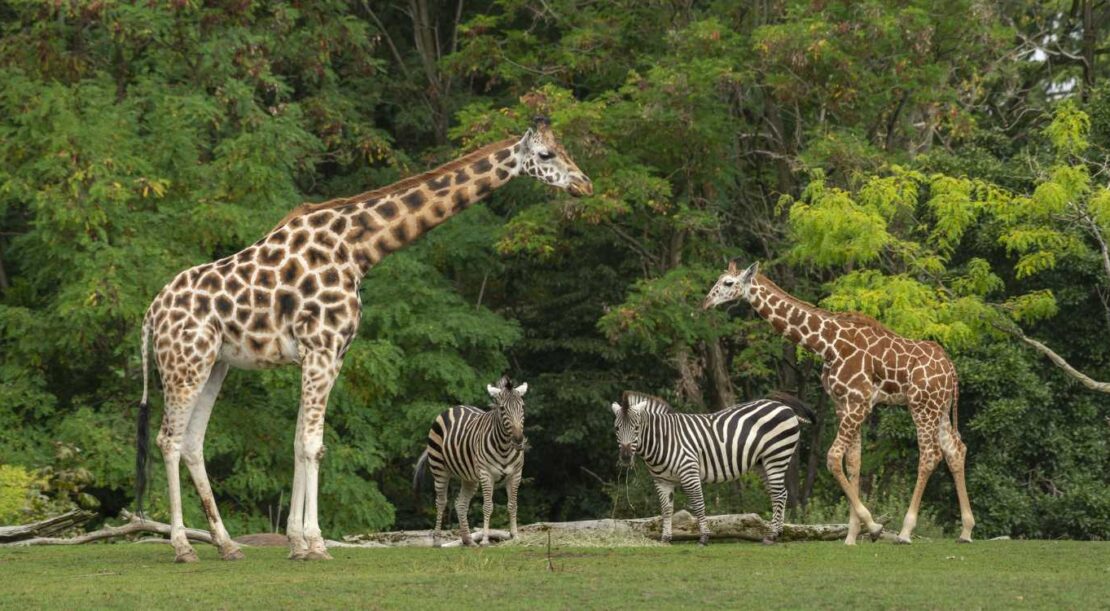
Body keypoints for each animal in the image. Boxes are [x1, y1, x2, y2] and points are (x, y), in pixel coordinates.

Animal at [417, 375, 528, 548]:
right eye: (502, 409)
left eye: (522, 407)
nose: (518, 441)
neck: (504, 447)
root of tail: (455, 407)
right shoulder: (486, 474)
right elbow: (488, 506)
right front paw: (485, 540)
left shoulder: (516, 474)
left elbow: (513, 505)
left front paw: (515, 537)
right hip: (439, 469)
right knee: (441, 502)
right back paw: (437, 540)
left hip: (469, 477)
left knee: (460, 504)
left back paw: (468, 540)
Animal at [612, 393, 812, 546]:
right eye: (616, 428)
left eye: (636, 428)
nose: (625, 457)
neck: (664, 440)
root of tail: (783, 406)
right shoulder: (662, 481)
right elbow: (666, 509)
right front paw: (666, 538)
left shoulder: (689, 472)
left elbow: (699, 504)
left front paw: (704, 537)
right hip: (762, 463)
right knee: (780, 494)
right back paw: (777, 533)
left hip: (776, 457)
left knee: (778, 494)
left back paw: (772, 535)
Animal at [705, 261, 976, 548]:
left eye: (728, 283)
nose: (707, 301)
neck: (827, 344)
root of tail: (951, 370)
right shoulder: (844, 403)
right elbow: (854, 462)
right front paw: (852, 535)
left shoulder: (859, 402)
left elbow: (834, 457)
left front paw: (873, 526)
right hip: (940, 407)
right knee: (955, 449)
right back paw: (966, 531)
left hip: (922, 406)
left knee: (930, 455)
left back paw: (905, 532)